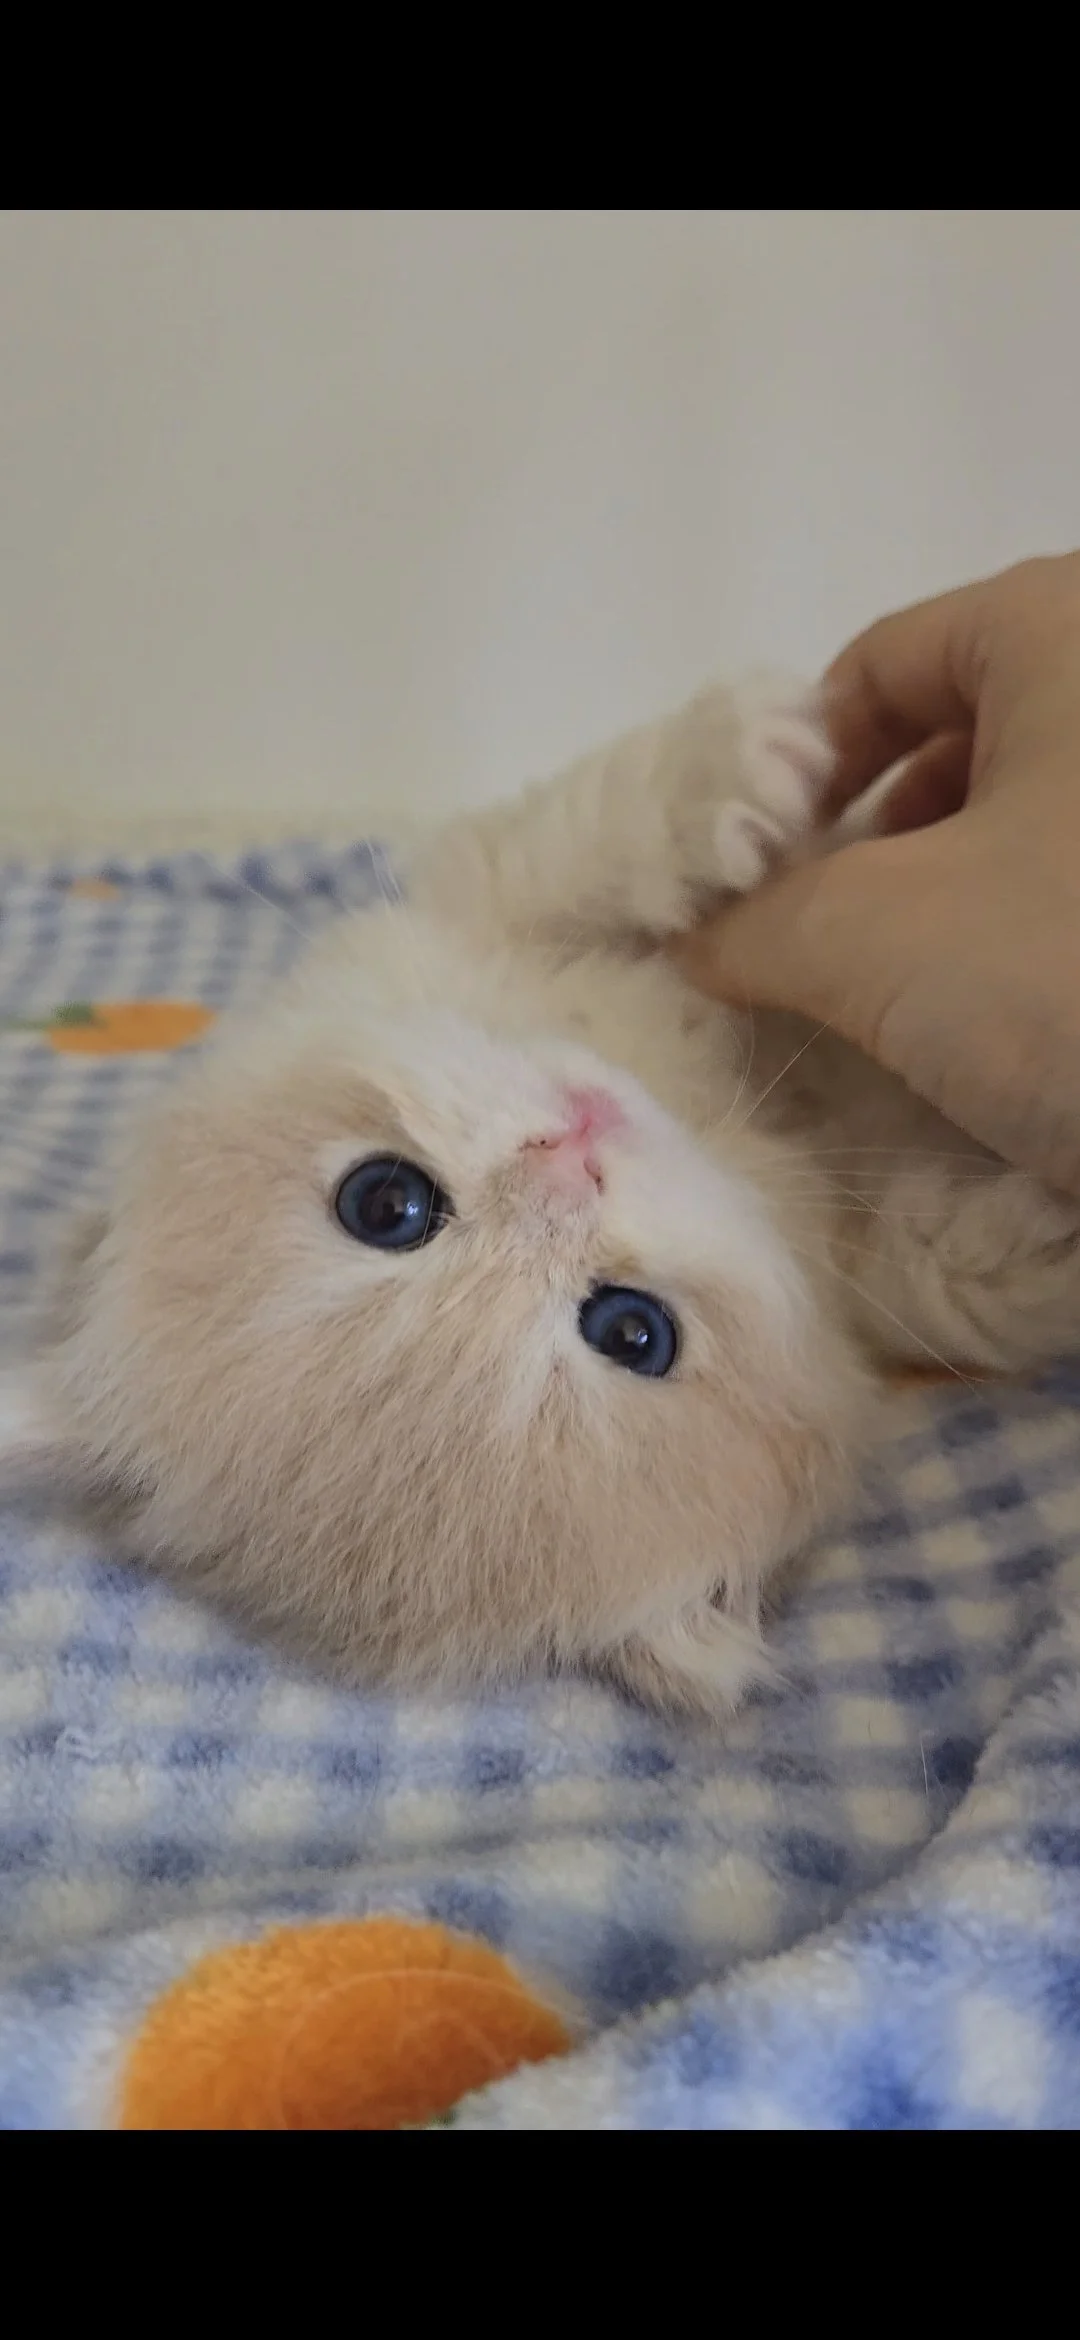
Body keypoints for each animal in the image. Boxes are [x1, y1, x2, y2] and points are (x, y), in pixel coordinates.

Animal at [4, 674, 1080, 1718]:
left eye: (385, 1204)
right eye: (634, 1333)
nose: (571, 1157)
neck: (721, 1115)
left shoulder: (463, 909)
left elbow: (578, 844)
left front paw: (733, 765)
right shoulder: (846, 1267)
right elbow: (924, 1271)